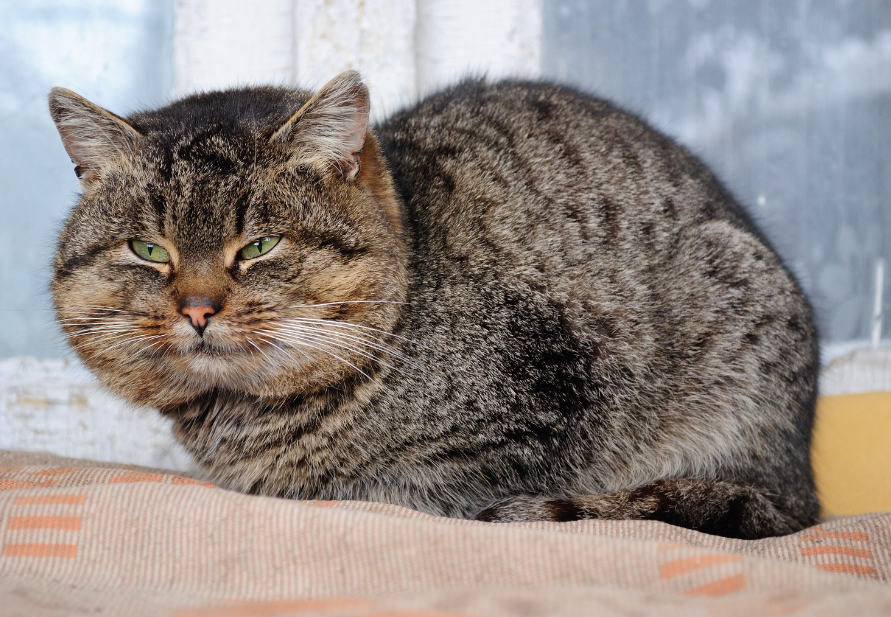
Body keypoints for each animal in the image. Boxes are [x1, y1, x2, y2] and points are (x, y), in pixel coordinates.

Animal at [45, 70, 820, 536]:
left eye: (260, 244)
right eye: (149, 249)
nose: (198, 309)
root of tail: (801, 478)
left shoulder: (529, 418)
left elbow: (382, 489)